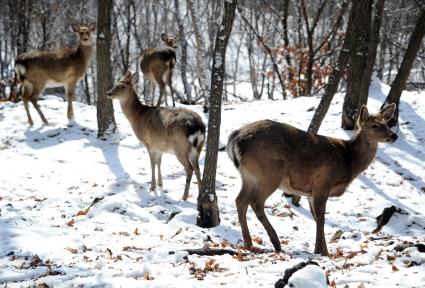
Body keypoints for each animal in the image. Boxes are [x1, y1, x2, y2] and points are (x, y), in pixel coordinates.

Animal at [107, 71, 205, 200]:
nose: (108, 93)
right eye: (115, 84)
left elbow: (152, 164)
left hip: (180, 147)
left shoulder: (148, 143)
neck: (137, 116)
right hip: (198, 147)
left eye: (122, 86)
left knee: (190, 169)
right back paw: (200, 195)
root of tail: (198, 127)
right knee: (198, 168)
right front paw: (160, 183)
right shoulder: (159, 145)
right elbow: (159, 162)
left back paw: (184, 196)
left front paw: (152, 186)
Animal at [229, 104, 398, 256]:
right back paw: (275, 242)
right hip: (269, 174)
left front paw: (325, 251)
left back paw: (249, 243)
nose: (394, 136)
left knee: (240, 200)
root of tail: (235, 139)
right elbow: (321, 219)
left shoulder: (311, 193)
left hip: (249, 176)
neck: (348, 160)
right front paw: (319, 251)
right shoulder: (323, 183)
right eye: (375, 125)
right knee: (256, 202)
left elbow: (316, 218)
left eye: (387, 123)